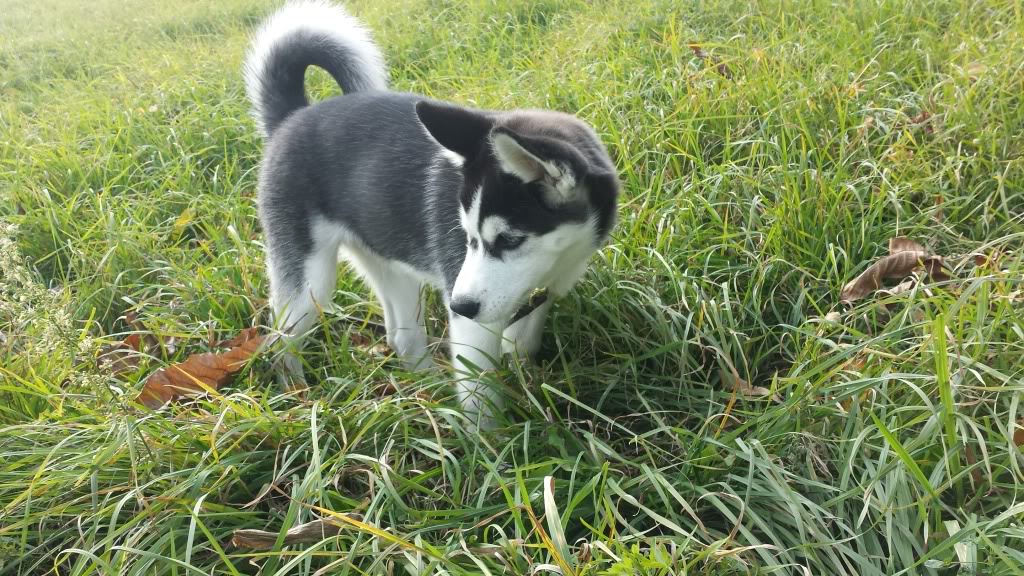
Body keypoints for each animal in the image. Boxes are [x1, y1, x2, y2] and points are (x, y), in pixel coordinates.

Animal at [243, 0, 618, 422]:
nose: (458, 305)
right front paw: (489, 438)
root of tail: (292, 117)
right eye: (468, 237)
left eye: (510, 240)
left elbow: (521, 349)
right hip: (308, 285)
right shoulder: (474, 326)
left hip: (387, 260)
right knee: (281, 340)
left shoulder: (540, 297)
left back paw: (427, 391)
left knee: (401, 336)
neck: (555, 263)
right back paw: (296, 396)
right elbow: (480, 397)